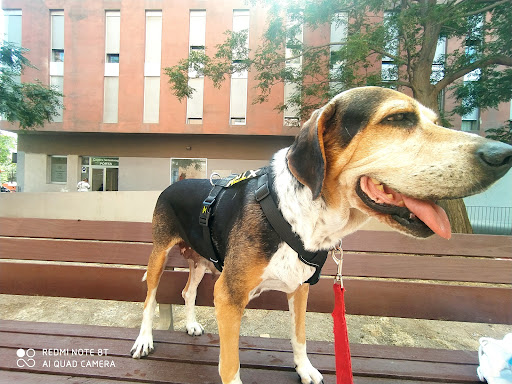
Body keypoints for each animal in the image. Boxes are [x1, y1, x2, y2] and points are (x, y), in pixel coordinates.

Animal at [131, 87, 512, 384]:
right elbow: (230, 365)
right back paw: (144, 341)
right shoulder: (229, 295)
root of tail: (177, 182)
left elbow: (299, 336)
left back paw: (192, 324)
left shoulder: (299, 287)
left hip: (201, 260)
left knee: (187, 291)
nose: (503, 154)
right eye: (398, 118)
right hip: (159, 255)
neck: (301, 215)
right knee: (150, 299)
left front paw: (305, 369)